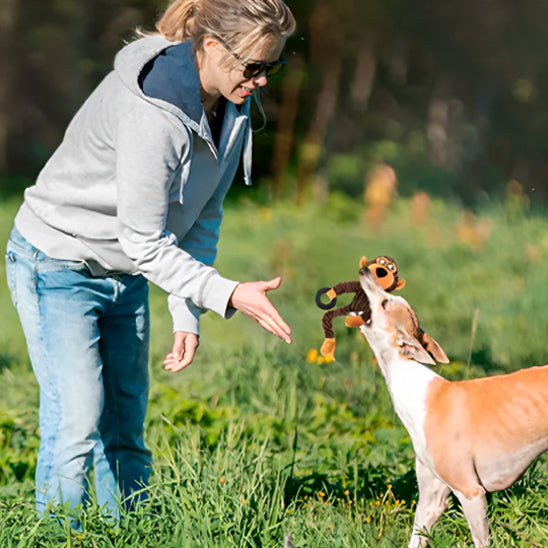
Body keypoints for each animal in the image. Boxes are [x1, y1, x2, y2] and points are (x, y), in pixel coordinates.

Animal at [358, 268, 548, 544]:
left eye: (385, 302)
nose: (364, 271)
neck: (416, 388)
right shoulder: (430, 501)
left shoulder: (471, 492)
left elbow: (481, 541)